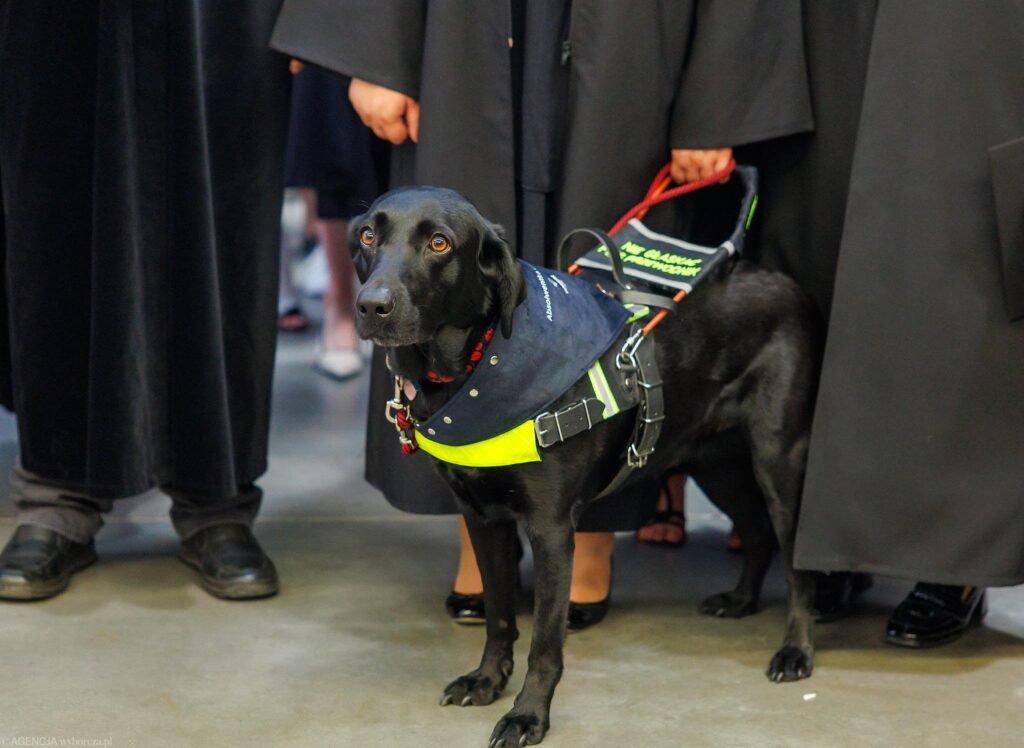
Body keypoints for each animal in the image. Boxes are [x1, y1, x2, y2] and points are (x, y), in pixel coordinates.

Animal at [351, 186, 820, 747]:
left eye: (439, 242)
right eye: (367, 235)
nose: (371, 305)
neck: (474, 371)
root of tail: (785, 280)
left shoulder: (552, 530)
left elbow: (545, 641)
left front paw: (527, 716)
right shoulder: (482, 519)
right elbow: (499, 615)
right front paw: (487, 680)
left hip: (778, 461)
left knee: (795, 560)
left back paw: (795, 650)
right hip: (715, 464)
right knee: (756, 530)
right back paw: (742, 599)